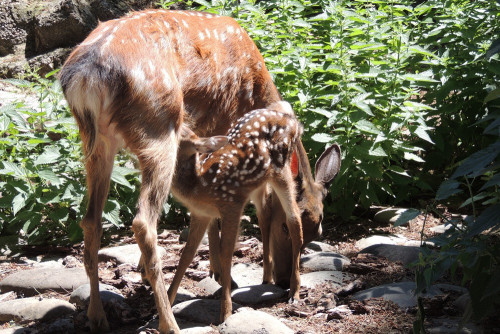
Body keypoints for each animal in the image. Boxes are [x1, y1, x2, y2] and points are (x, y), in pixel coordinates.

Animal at [58, 9, 340, 332]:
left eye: (319, 227)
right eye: (286, 227)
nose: (280, 279)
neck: (257, 86)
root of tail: (85, 78)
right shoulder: (222, 122)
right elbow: (240, 208)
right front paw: (222, 273)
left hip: (97, 141)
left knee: (91, 220)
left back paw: (97, 315)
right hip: (159, 129)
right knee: (143, 222)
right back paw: (168, 321)